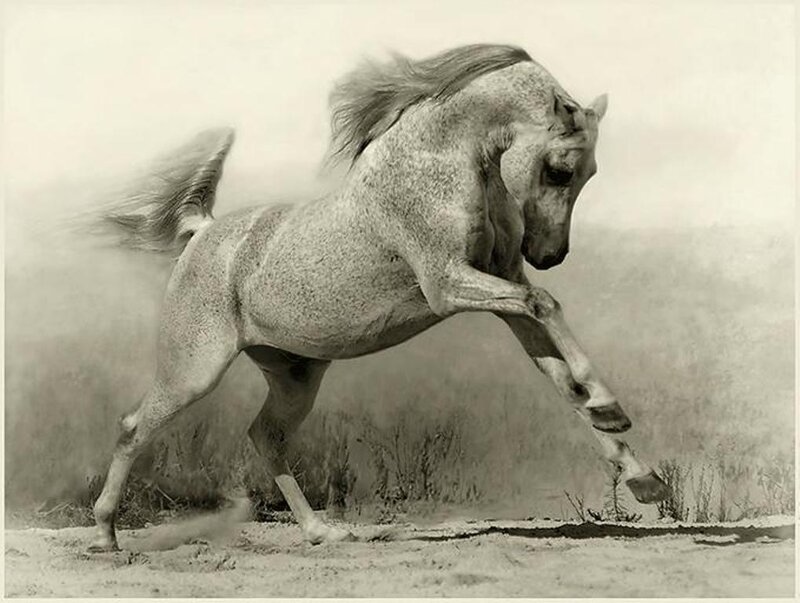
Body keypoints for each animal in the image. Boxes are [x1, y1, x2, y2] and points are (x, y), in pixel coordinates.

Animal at [88, 43, 670, 552]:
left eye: (589, 173)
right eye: (559, 169)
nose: (550, 254)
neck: (443, 162)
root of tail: (202, 231)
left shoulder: (503, 285)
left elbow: (561, 378)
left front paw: (641, 473)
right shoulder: (448, 285)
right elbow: (546, 304)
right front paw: (610, 407)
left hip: (295, 375)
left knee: (265, 436)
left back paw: (323, 533)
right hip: (193, 372)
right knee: (134, 428)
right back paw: (106, 536)